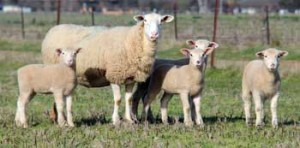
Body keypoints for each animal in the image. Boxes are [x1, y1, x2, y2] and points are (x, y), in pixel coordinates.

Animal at [41, 12, 175, 124]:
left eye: (161, 22)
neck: (131, 41)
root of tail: (54, 29)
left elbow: (129, 99)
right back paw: (57, 118)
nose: (154, 35)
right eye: (145, 21)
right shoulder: (114, 75)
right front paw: (116, 120)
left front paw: (129, 120)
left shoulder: (130, 77)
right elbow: (118, 99)